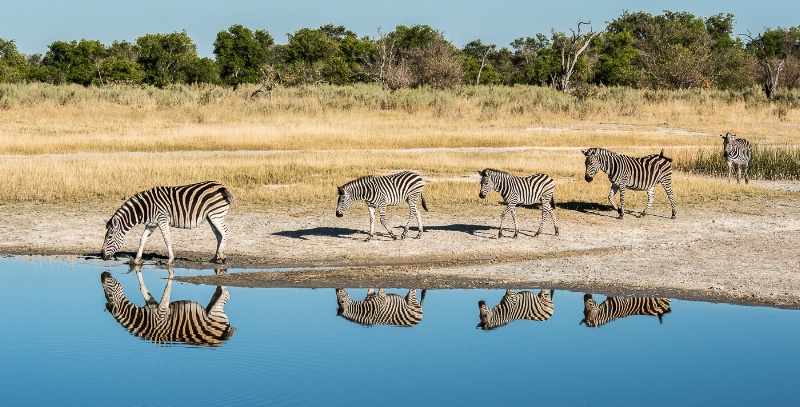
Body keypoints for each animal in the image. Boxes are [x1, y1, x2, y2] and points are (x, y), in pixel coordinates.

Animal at [99, 270, 234, 346]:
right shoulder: (156, 308)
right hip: (214, 312)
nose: (102, 274)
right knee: (224, 295)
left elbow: (163, 291)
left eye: (108, 295)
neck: (142, 318)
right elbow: (152, 291)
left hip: (214, 313)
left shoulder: (158, 310)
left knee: (225, 295)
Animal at [100, 181, 234, 264]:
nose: (102, 256)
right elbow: (142, 239)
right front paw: (137, 260)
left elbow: (166, 239)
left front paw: (170, 260)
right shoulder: (152, 223)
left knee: (225, 232)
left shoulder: (162, 219)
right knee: (219, 235)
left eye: (109, 237)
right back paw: (215, 258)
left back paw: (222, 256)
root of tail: (222, 186)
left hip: (216, 215)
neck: (146, 208)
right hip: (211, 217)